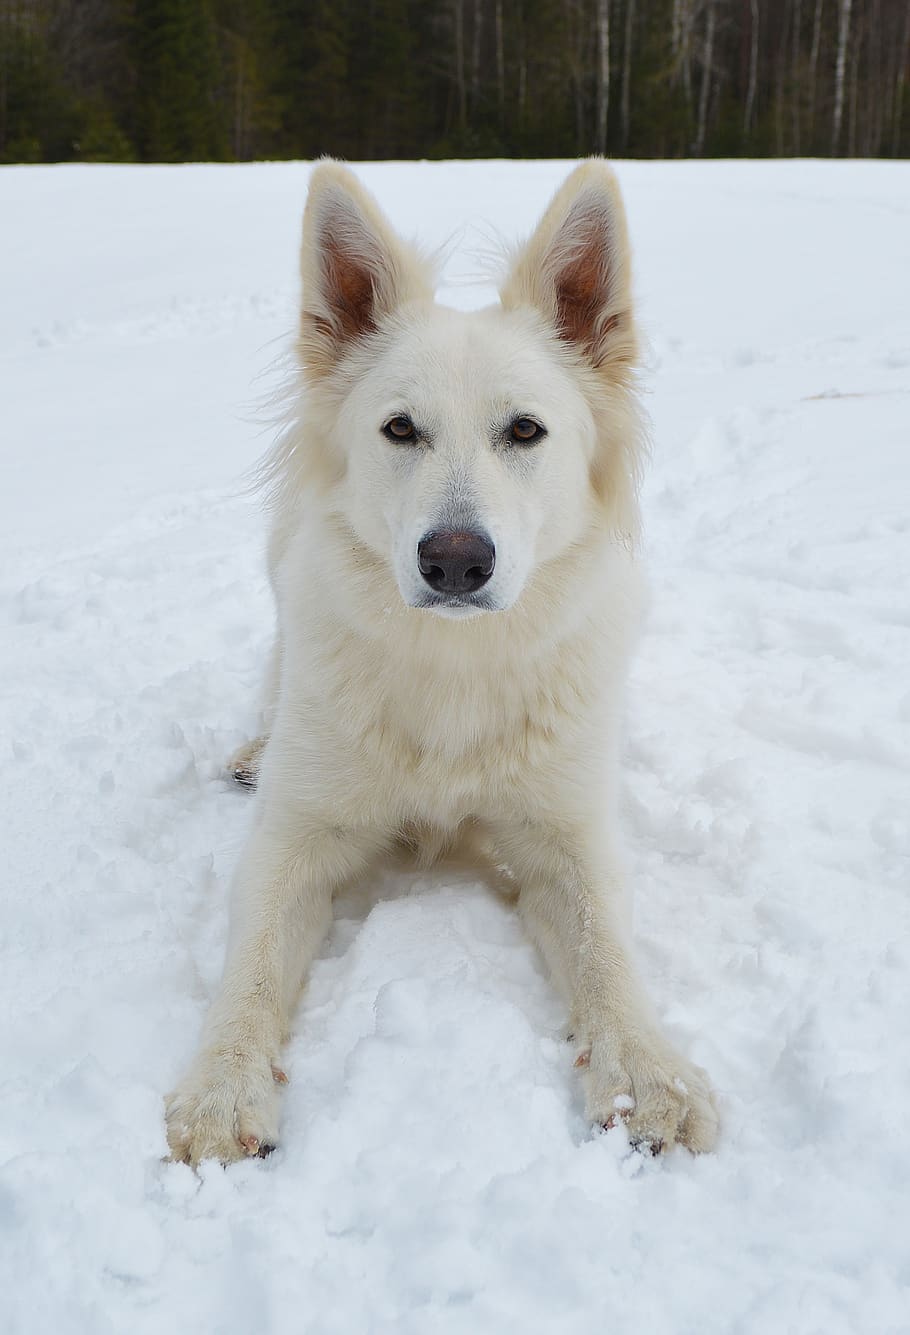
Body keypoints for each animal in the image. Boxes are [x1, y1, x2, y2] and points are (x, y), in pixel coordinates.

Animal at [162, 156, 715, 1164]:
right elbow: (251, 963)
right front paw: (221, 1087)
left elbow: (607, 950)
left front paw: (649, 1072)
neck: (454, 664)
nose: (455, 560)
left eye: (526, 431)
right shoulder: (293, 837)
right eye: (400, 429)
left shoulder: (568, 837)